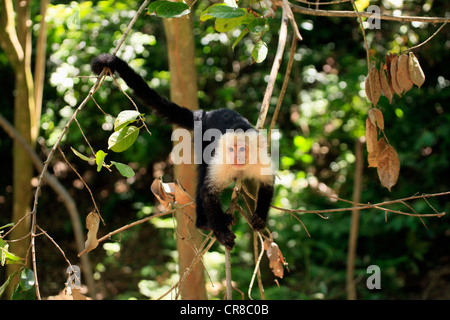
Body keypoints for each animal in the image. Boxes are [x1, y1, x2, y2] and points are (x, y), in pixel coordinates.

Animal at [91, 53, 274, 250]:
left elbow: (267, 186)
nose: (236, 157)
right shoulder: (222, 162)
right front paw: (221, 233)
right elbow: (208, 193)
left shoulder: (262, 160)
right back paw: (204, 223)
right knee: (202, 178)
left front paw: (260, 218)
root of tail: (204, 114)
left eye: (242, 149)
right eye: (232, 149)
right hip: (202, 141)